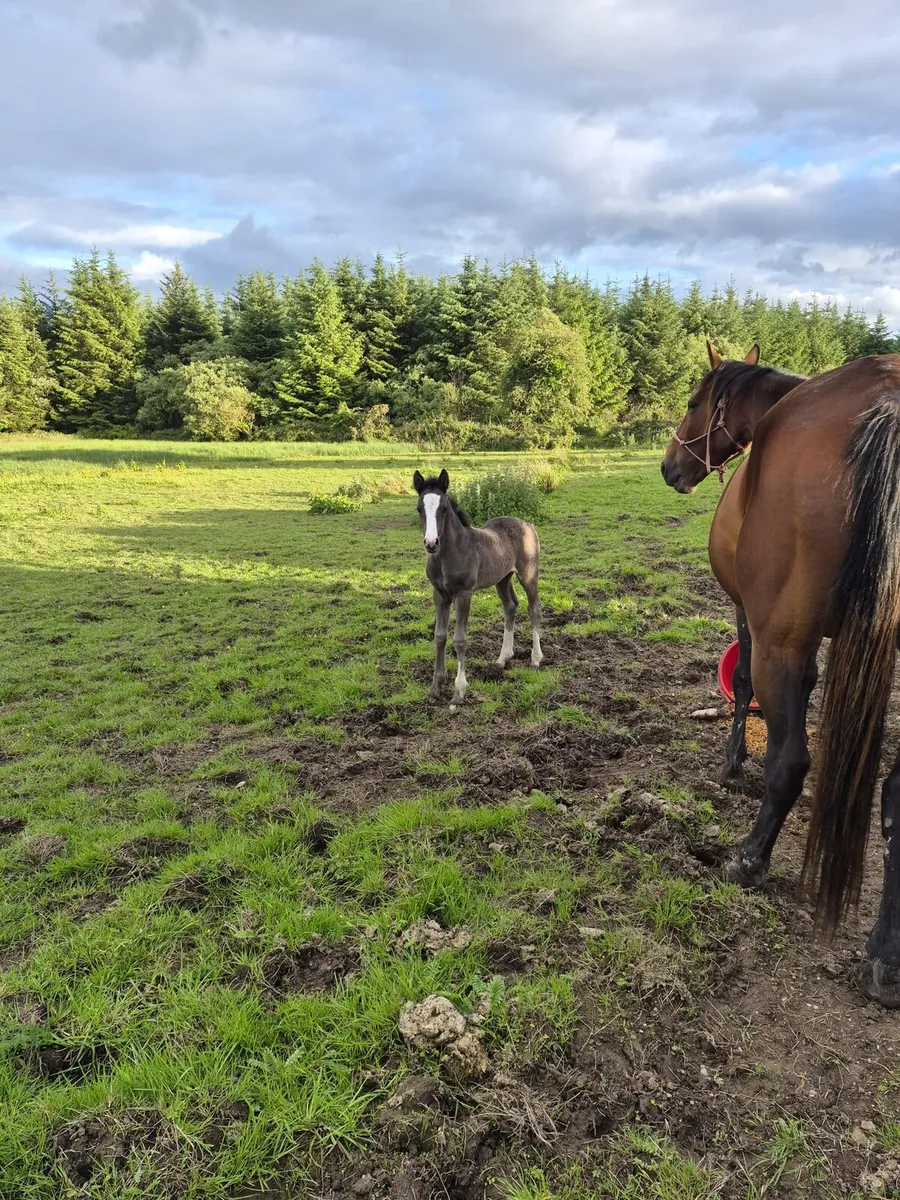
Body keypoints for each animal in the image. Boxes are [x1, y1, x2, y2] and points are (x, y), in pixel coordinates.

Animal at [413, 469, 543, 708]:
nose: (431, 543)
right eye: (419, 509)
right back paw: (502, 658)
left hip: (528, 574)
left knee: (534, 609)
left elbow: (460, 640)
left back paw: (536, 659)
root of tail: (527, 524)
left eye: (444, 508)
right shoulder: (440, 595)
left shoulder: (463, 593)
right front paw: (435, 688)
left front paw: (459, 692)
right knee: (510, 606)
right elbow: (439, 636)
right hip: (502, 578)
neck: (449, 553)